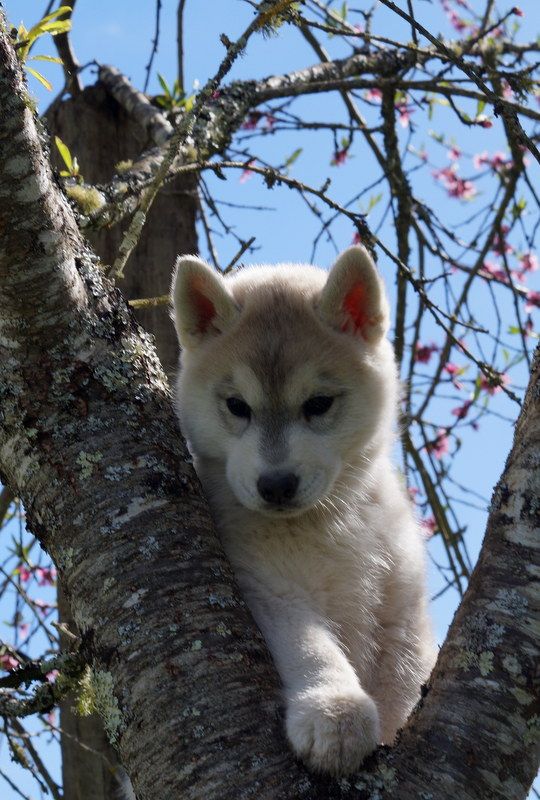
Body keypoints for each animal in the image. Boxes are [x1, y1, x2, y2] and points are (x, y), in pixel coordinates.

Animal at [171, 245, 435, 776]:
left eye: (318, 403)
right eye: (237, 406)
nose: (275, 485)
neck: (327, 523)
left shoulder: (401, 601)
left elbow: (404, 674)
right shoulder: (265, 584)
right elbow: (310, 645)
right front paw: (334, 712)